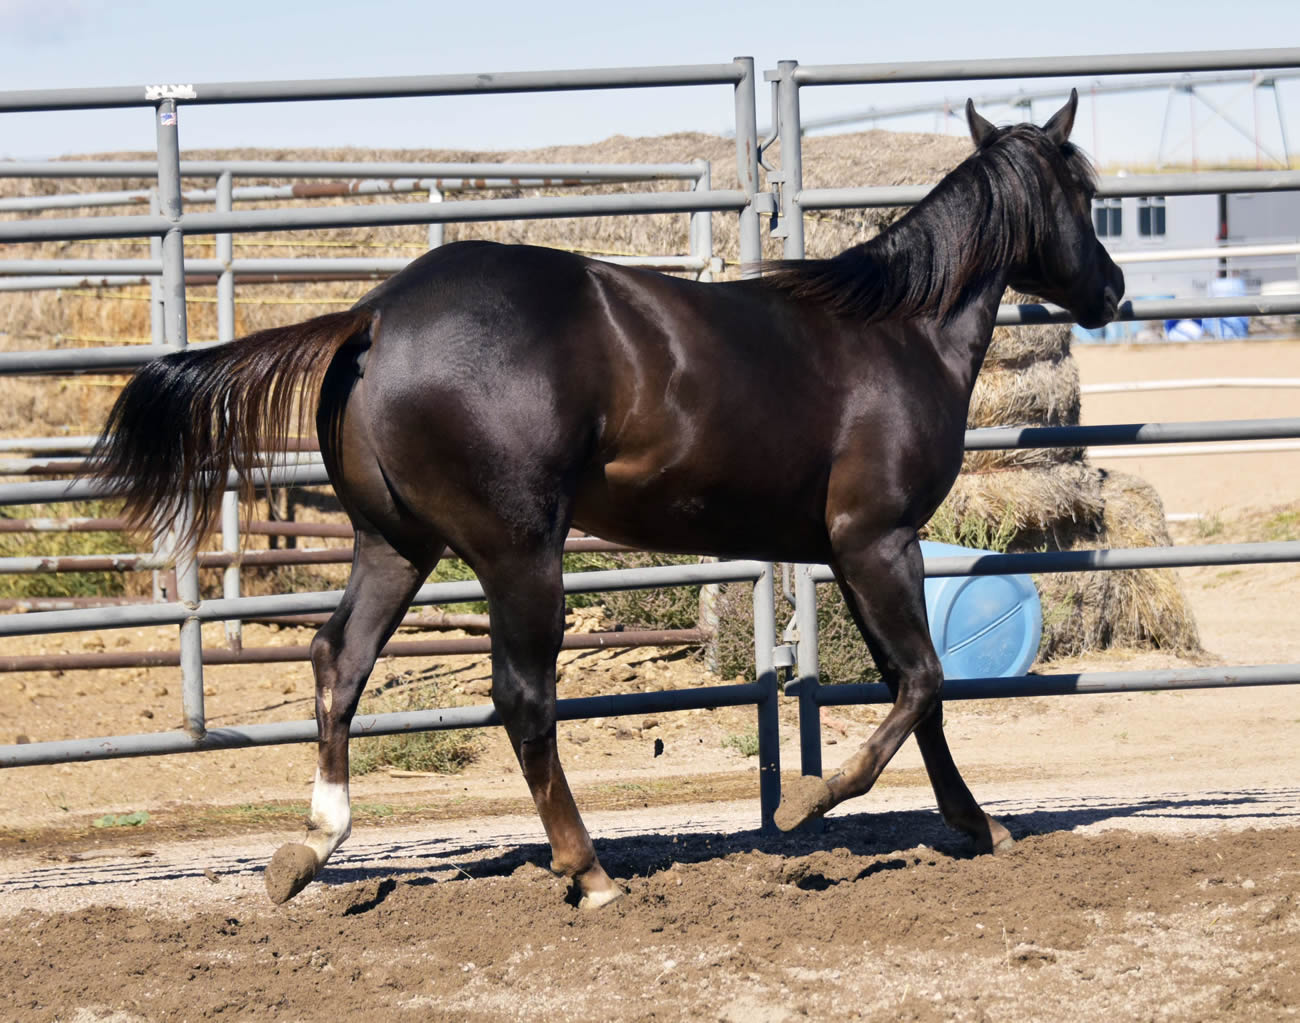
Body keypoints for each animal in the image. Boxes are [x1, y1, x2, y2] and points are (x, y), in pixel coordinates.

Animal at [88, 91, 1122, 909]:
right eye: (1084, 193)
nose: (1112, 288)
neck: (896, 333)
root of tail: (377, 313)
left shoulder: (856, 551)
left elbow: (919, 691)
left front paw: (978, 826)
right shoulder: (877, 540)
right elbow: (922, 684)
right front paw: (807, 803)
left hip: (393, 544)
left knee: (338, 660)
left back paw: (309, 847)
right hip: (519, 554)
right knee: (522, 699)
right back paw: (587, 870)